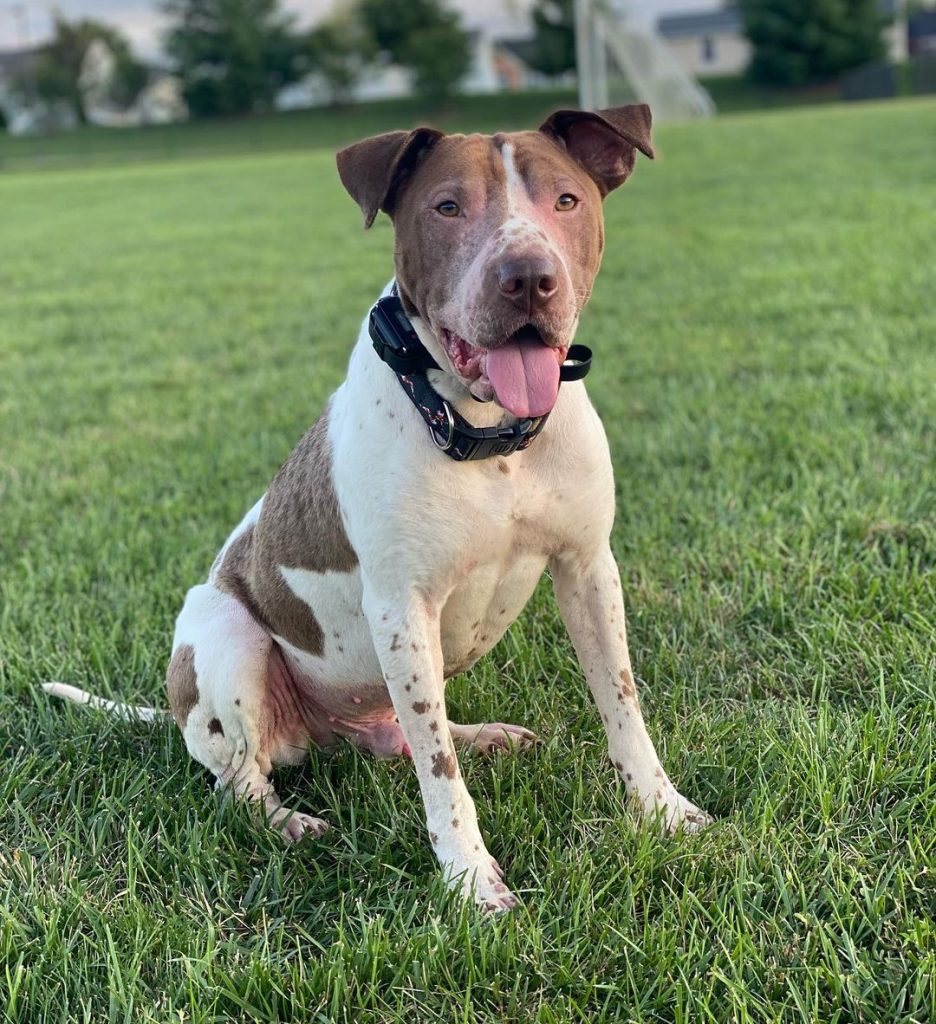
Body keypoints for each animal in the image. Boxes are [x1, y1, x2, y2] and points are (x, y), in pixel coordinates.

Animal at [45, 103, 708, 913]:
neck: (487, 438)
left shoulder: (588, 569)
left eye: (567, 200)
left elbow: (621, 705)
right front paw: (470, 883)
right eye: (446, 207)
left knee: (399, 736)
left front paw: (663, 810)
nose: (528, 277)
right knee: (240, 780)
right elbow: (440, 775)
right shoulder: (401, 608)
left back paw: (483, 734)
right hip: (226, 634)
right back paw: (289, 822)